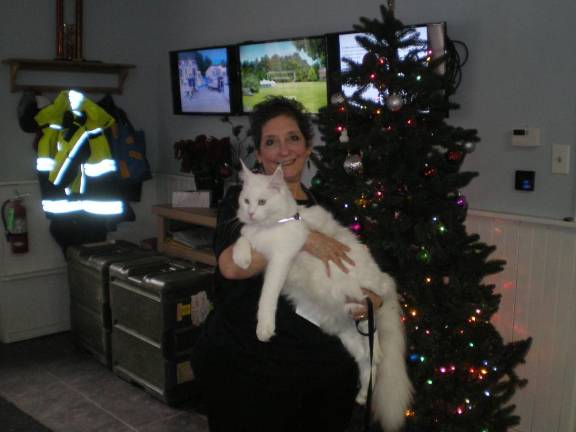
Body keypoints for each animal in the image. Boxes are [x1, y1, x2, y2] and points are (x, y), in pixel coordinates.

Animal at [232, 163, 412, 432]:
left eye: (262, 201)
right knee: (366, 362)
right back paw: (362, 395)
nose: (251, 213)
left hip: (365, 298)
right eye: (246, 201)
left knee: (375, 333)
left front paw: (264, 328)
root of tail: (385, 279)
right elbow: (242, 239)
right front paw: (241, 258)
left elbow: (266, 298)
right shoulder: (254, 239)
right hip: (348, 332)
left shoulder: (281, 259)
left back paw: (378, 351)